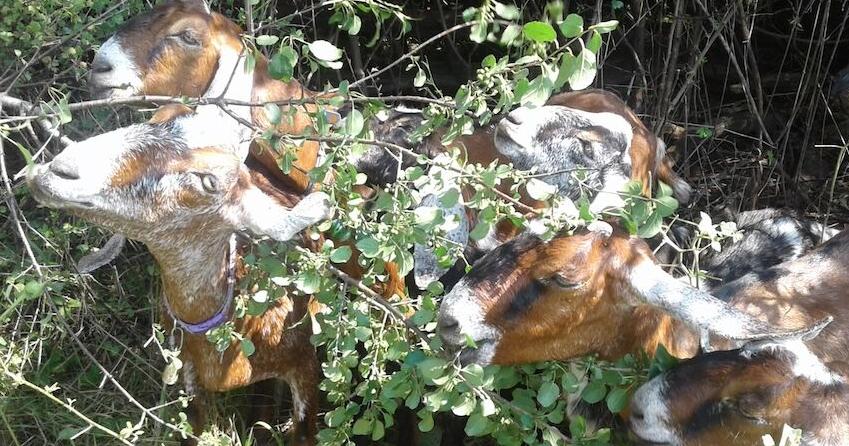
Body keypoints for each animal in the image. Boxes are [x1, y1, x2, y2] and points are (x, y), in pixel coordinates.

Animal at [26, 111, 332, 444]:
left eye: (208, 181)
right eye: (154, 118)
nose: (60, 170)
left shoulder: (304, 362)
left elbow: (304, 433)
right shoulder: (186, 368)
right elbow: (192, 428)